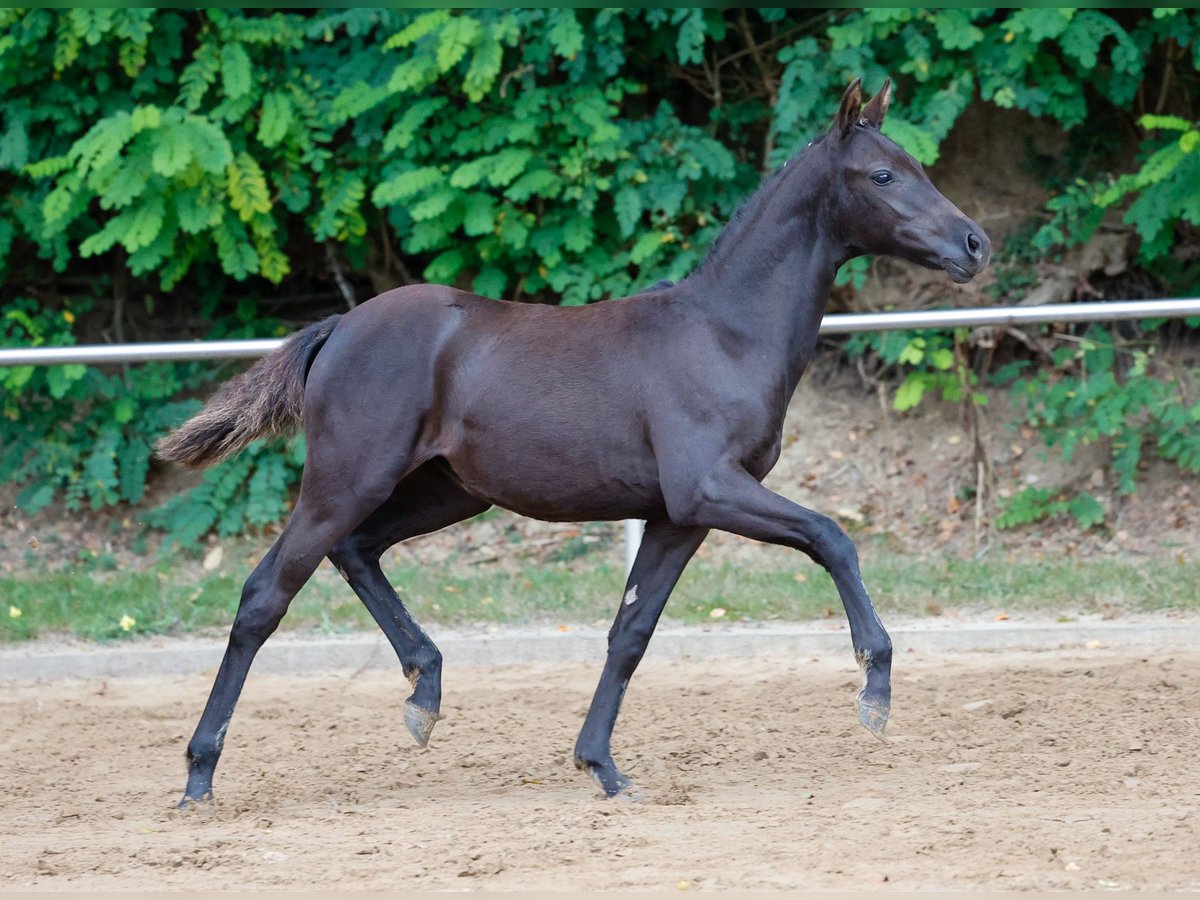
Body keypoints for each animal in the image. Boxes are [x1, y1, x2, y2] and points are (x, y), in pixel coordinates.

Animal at [154, 77, 988, 806]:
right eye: (882, 173)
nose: (975, 244)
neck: (725, 334)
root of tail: (339, 328)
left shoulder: (677, 516)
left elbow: (631, 632)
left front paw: (603, 767)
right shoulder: (709, 488)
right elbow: (831, 537)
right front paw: (874, 688)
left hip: (446, 493)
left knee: (357, 551)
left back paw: (425, 693)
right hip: (346, 480)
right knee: (266, 595)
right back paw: (199, 775)